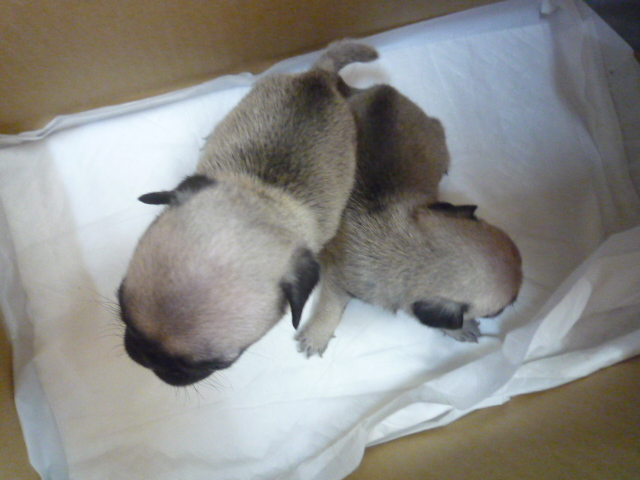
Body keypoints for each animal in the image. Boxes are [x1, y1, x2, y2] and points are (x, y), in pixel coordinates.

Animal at [296, 84, 523, 356]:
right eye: (497, 312)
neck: (411, 249)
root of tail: (383, 89)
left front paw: (459, 329)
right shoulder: (337, 279)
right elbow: (329, 307)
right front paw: (317, 334)